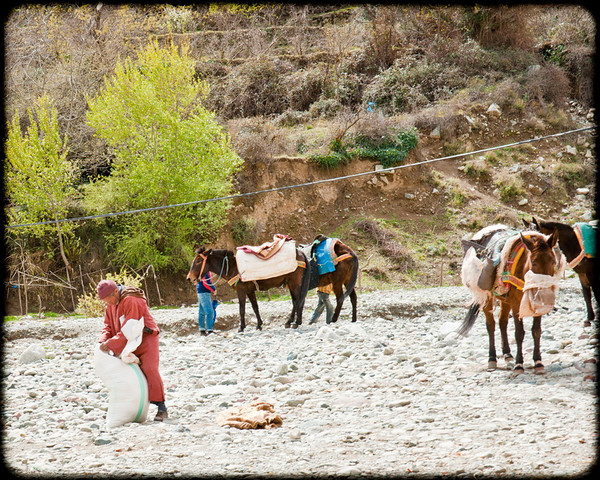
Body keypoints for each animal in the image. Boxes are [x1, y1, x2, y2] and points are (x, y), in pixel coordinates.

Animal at [460, 229, 564, 376]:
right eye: (533, 262)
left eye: (554, 261)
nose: (544, 289)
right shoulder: (516, 304)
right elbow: (519, 333)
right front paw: (519, 364)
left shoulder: (537, 304)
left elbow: (536, 330)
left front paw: (538, 362)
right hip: (487, 297)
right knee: (491, 325)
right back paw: (492, 359)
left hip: (505, 299)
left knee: (502, 321)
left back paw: (508, 355)